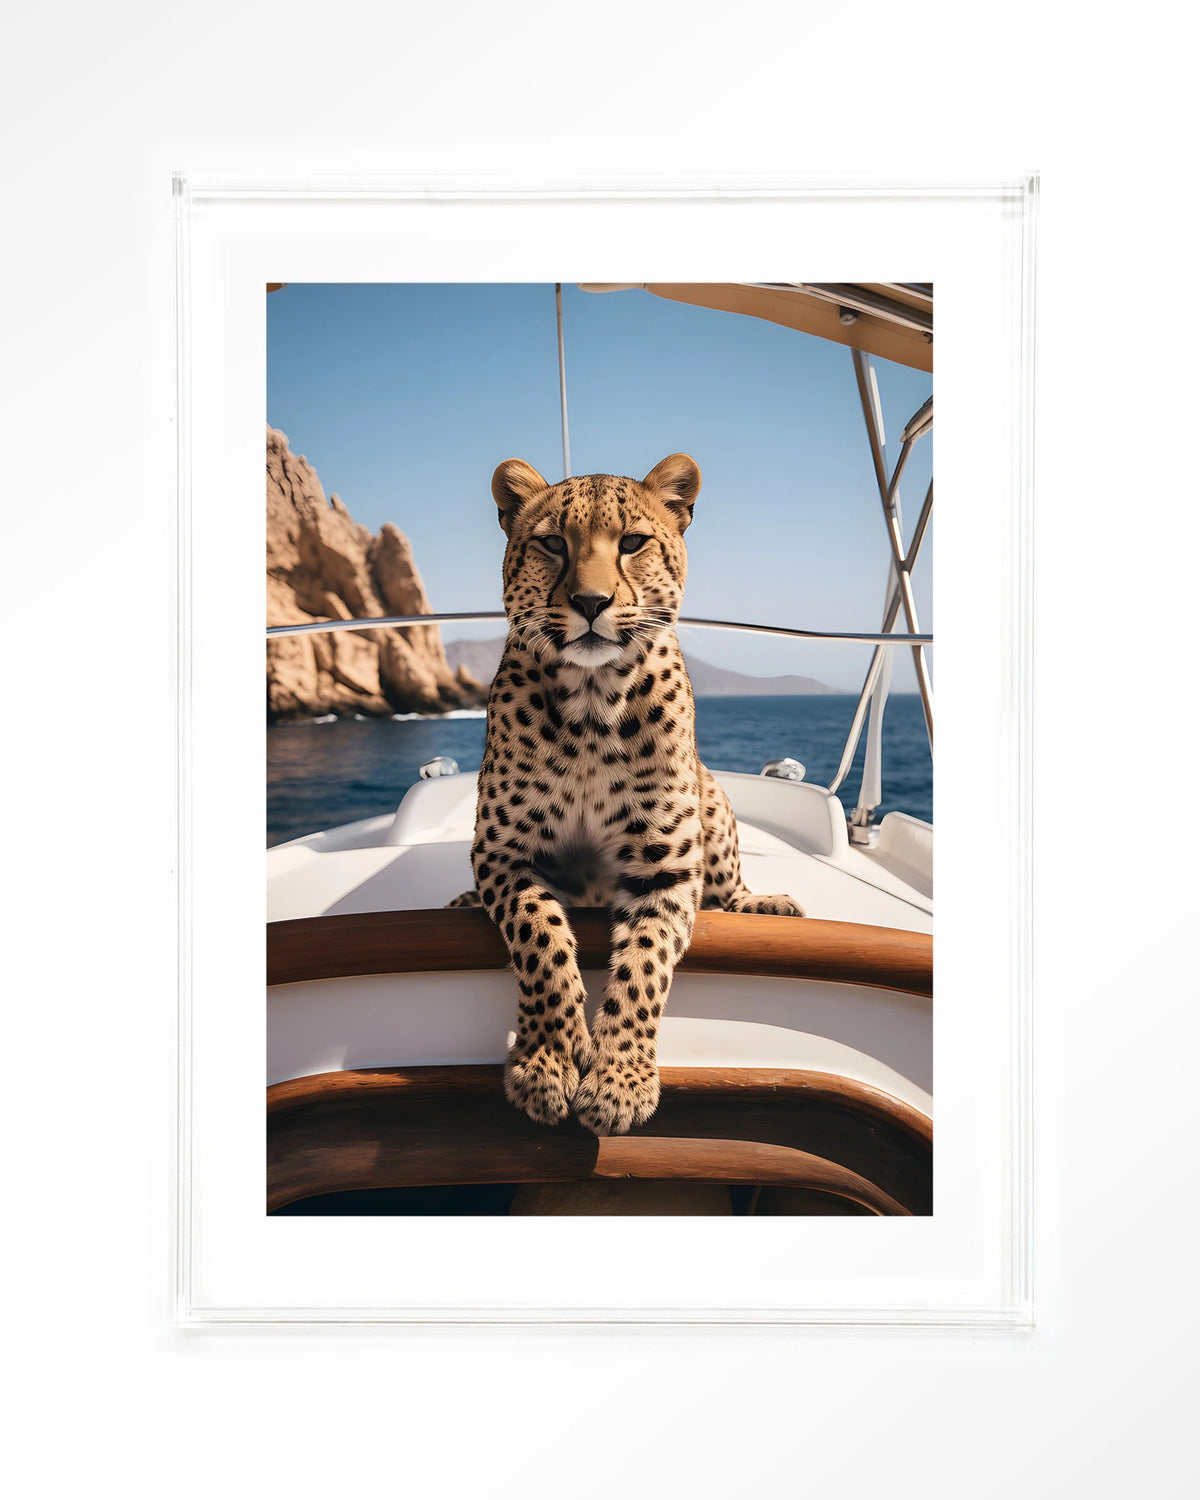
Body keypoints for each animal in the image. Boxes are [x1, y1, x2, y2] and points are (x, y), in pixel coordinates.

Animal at [448, 453, 804, 1137]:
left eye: (633, 543)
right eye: (553, 544)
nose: (591, 602)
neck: (592, 704)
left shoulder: (664, 868)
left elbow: (642, 967)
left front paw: (619, 1083)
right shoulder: (503, 852)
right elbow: (541, 939)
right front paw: (549, 1062)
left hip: (713, 799)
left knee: (728, 889)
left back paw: (763, 906)